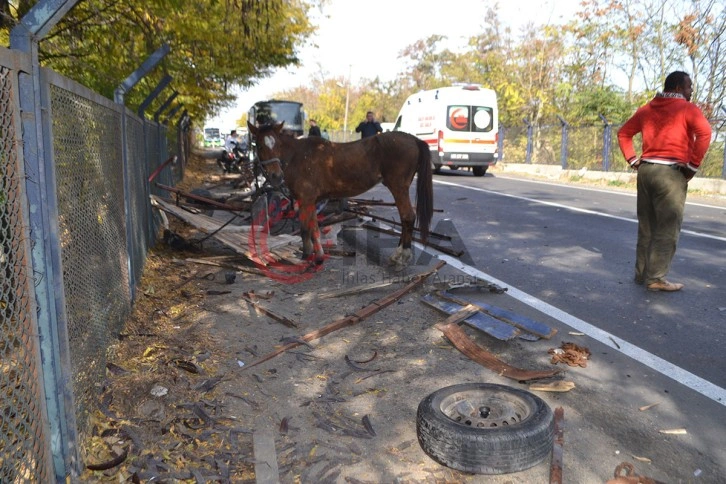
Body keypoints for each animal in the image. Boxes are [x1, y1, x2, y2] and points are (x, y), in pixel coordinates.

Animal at [247, 120, 436, 264]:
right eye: (260, 146)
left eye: (277, 145)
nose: (276, 176)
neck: (298, 157)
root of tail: (414, 139)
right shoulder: (308, 201)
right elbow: (310, 228)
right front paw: (313, 255)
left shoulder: (306, 199)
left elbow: (308, 228)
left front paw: (312, 257)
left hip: (399, 187)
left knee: (408, 217)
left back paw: (402, 255)